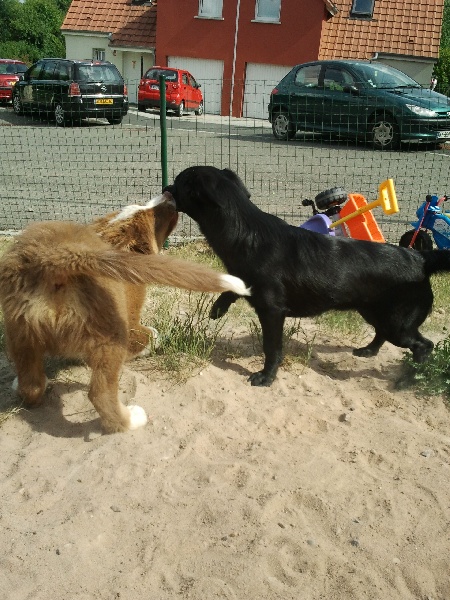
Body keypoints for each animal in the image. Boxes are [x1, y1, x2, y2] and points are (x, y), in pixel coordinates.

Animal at [0, 195, 250, 434]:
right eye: (155, 217)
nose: (168, 194)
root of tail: (56, 257)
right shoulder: (131, 324)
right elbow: (152, 335)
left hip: (19, 333)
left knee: (31, 385)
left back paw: (25, 385)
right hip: (112, 336)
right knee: (99, 394)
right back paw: (130, 420)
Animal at [164, 166, 450, 386]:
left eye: (178, 183)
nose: (166, 186)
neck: (246, 233)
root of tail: (420, 258)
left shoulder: (272, 311)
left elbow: (272, 347)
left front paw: (266, 377)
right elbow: (233, 287)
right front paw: (218, 308)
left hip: (398, 323)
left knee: (424, 346)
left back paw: (409, 379)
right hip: (374, 312)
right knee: (382, 333)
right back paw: (369, 351)